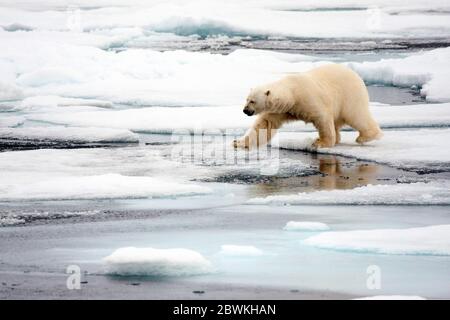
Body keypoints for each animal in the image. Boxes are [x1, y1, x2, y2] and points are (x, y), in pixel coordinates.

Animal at [234, 63, 382, 149]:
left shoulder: (308, 98)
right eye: (247, 99)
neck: (292, 94)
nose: (245, 110)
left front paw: (320, 143)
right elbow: (264, 125)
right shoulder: (281, 110)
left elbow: (322, 118)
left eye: (253, 101)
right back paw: (339, 138)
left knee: (356, 115)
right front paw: (238, 142)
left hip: (349, 95)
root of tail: (356, 75)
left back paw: (365, 137)